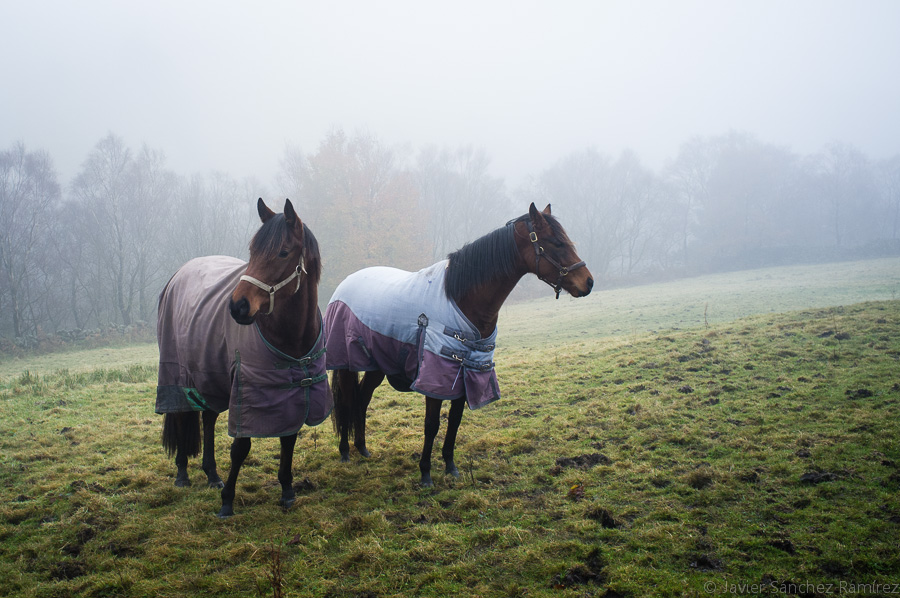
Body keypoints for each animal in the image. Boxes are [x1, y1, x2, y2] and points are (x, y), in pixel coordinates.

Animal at [156, 199, 330, 516]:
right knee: (181, 415)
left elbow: (288, 438)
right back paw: (182, 474)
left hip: (210, 375)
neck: (291, 337)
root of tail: (179, 274)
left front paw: (287, 490)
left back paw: (212, 474)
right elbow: (240, 448)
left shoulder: (292, 392)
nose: (237, 306)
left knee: (208, 416)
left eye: (283, 252)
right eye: (252, 252)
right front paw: (227, 502)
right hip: (176, 372)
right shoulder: (246, 390)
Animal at [326, 205, 596, 488]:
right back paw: (345, 451)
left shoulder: (468, 370)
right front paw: (425, 473)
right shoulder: (435, 376)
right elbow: (432, 424)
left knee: (362, 398)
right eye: (556, 243)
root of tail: (344, 285)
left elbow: (455, 421)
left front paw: (450, 466)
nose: (588, 282)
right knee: (348, 399)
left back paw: (362, 447)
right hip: (347, 364)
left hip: (377, 365)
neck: (460, 296)